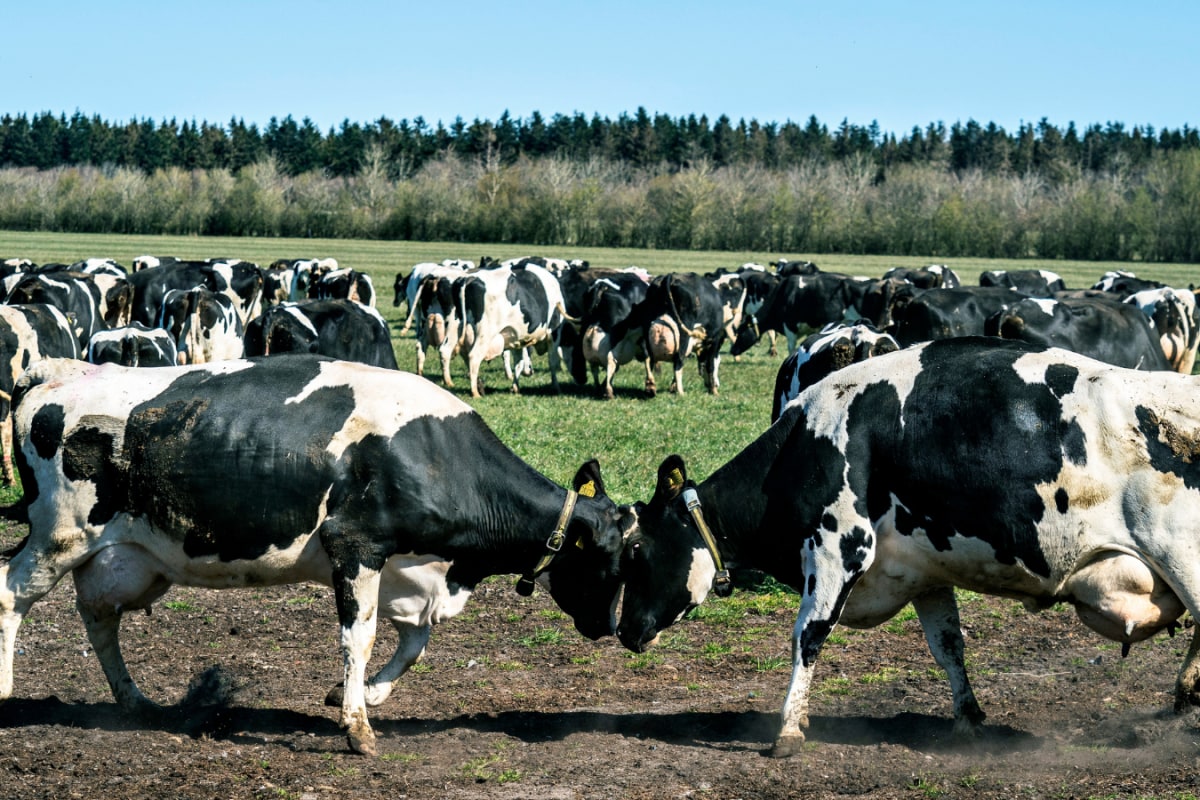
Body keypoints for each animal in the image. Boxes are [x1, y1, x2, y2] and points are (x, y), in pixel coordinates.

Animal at [1, 355, 632, 755]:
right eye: (615, 557)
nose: (617, 629)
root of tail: (61, 370)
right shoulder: (355, 545)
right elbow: (361, 636)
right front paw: (357, 726)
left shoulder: (408, 571)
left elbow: (413, 643)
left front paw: (363, 695)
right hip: (57, 537)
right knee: (11, 595)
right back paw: (7, 693)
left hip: (120, 557)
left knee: (99, 619)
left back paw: (133, 700)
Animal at [618, 336, 1200, 757]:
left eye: (636, 550)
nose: (622, 631)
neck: (806, 448)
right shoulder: (925, 571)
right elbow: (948, 646)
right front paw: (968, 718)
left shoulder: (838, 547)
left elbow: (808, 637)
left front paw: (786, 731)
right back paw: (1186, 693)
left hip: (1182, 558)